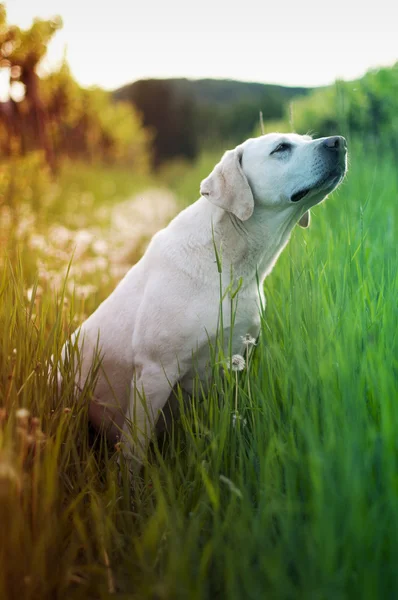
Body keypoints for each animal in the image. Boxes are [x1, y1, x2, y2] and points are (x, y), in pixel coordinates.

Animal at [63, 134, 346, 466]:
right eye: (281, 148)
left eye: (306, 139)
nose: (339, 142)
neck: (233, 261)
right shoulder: (155, 371)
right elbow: (134, 449)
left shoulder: (233, 361)